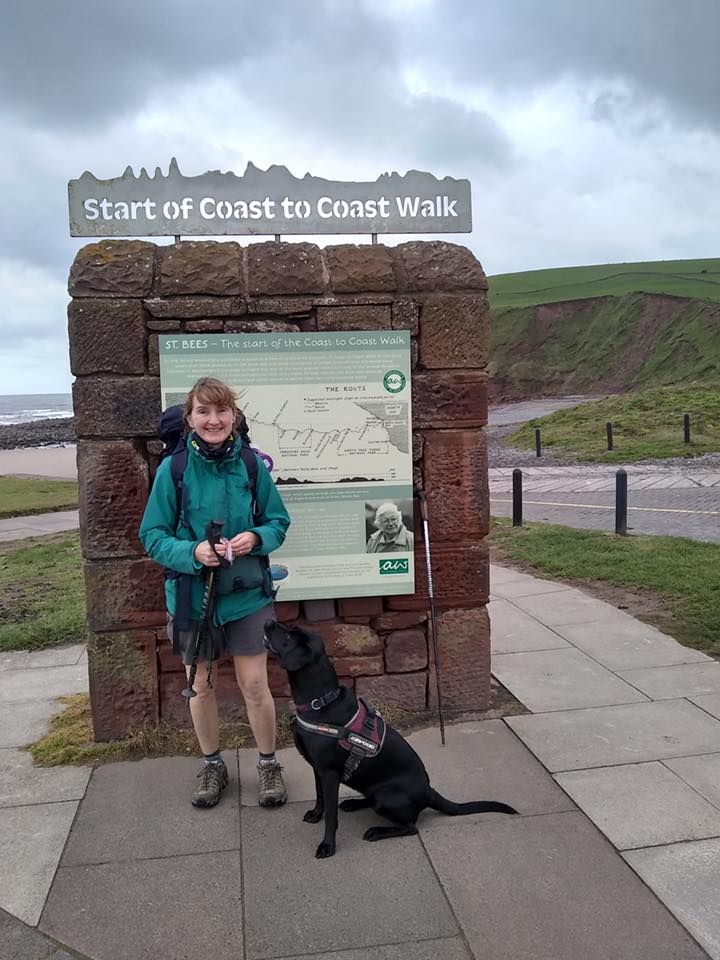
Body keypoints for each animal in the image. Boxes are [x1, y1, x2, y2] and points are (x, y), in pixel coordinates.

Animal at [264, 620, 516, 860]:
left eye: (289, 636)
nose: (267, 622)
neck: (320, 703)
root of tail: (429, 792)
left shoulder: (329, 772)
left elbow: (331, 816)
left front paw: (327, 845)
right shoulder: (317, 768)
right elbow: (320, 797)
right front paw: (316, 815)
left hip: (385, 796)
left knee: (411, 827)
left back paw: (376, 831)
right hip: (374, 791)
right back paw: (353, 803)